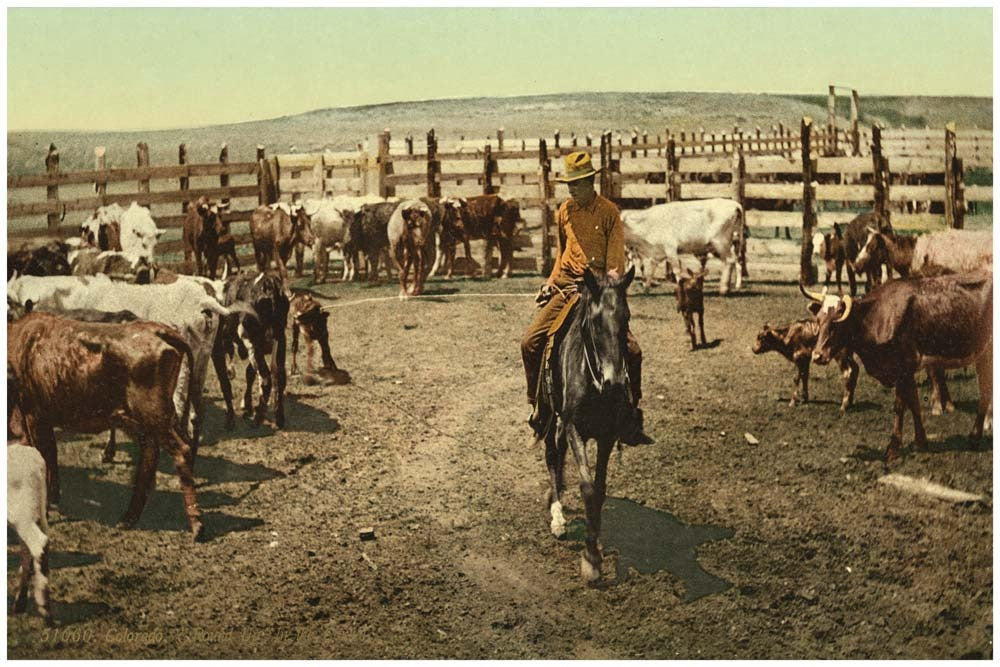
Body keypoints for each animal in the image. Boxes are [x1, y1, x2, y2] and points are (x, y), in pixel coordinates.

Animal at [8, 314, 205, 544]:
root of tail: (160, 330)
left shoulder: (34, 415)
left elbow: (44, 458)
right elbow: (50, 457)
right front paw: (54, 500)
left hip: (155, 415)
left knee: (181, 450)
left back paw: (197, 525)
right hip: (152, 419)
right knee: (152, 454)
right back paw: (128, 518)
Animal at [544, 266, 636, 584]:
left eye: (626, 317)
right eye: (595, 321)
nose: (615, 382)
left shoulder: (607, 435)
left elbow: (599, 489)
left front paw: (594, 551)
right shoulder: (575, 429)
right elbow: (587, 488)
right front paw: (591, 560)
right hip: (551, 416)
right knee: (551, 455)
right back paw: (557, 516)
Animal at [804, 274, 992, 462]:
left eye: (837, 323)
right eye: (818, 320)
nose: (817, 355)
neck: (879, 316)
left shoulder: (903, 367)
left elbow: (900, 406)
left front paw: (893, 448)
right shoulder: (905, 371)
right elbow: (914, 403)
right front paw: (920, 442)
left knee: (985, 392)